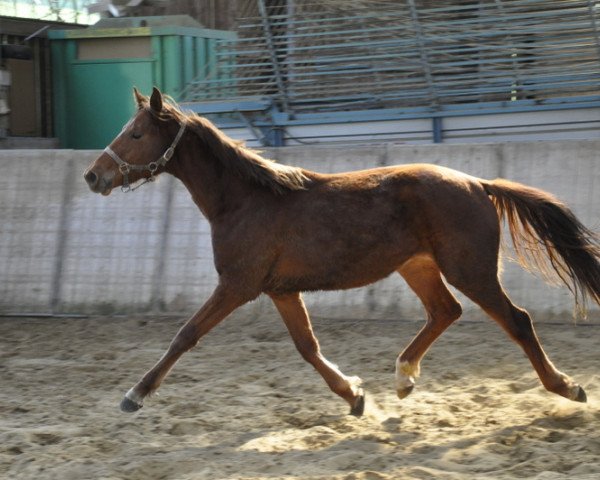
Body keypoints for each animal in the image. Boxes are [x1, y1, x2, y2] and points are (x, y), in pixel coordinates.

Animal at [84, 87, 600, 416]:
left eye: (135, 134)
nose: (93, 176)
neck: (247, 200)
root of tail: (477, 182)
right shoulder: (279, 290)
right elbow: (308, 347)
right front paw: (354, 396)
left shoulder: (237, 285)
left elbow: (185, 335)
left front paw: (134, 395)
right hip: (418, 267)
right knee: (445, 311)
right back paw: (403, 377)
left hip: (469, 269)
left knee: (517, 320)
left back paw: (568, 388)